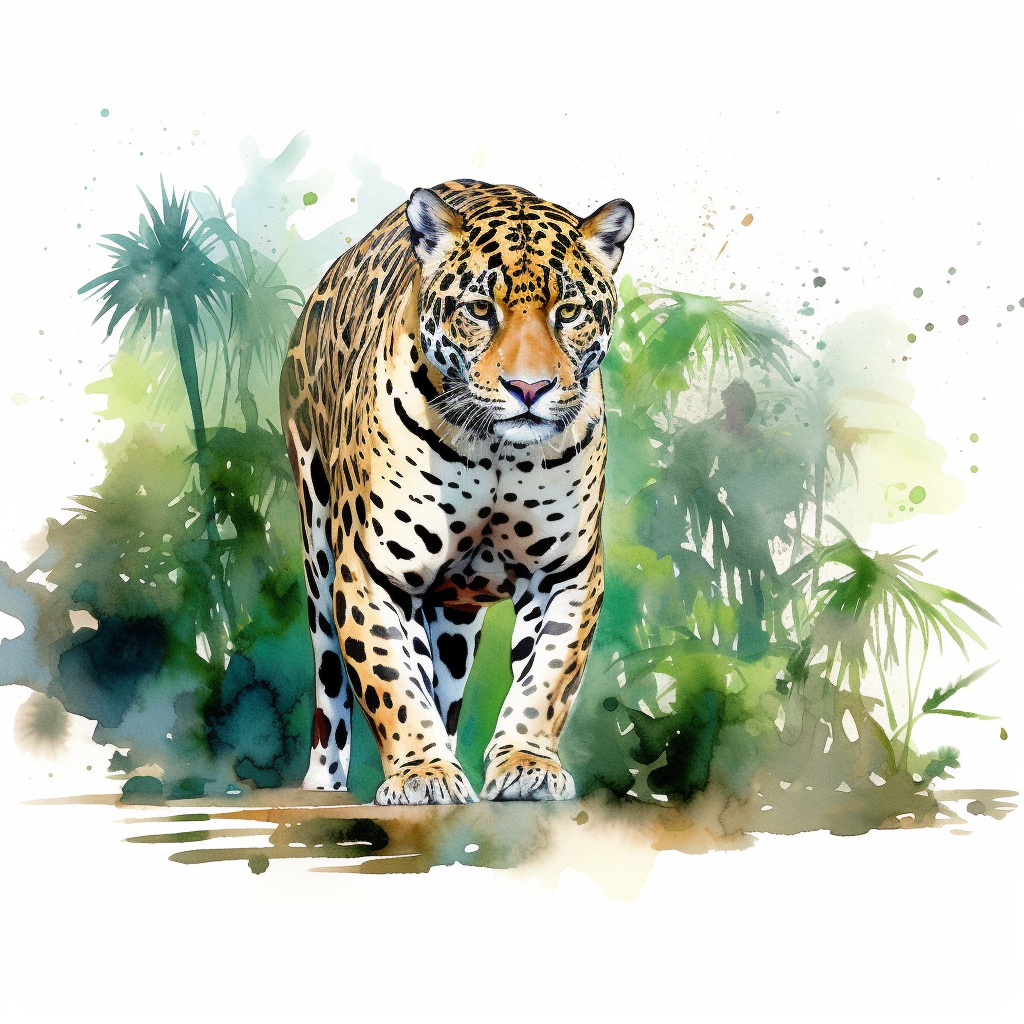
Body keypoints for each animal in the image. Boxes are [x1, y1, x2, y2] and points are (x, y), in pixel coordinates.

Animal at [279, 179, 633, 804]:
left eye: (568, 312)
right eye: (479, 310)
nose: (529, 388)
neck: (498, 451)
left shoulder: (567, 573)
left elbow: (546, 679)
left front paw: (526, 764)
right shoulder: (371, 571)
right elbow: (391, 679)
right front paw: (422, 774)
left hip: (452, 614)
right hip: (318, 550)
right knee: (332, 683)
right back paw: (326, 782)